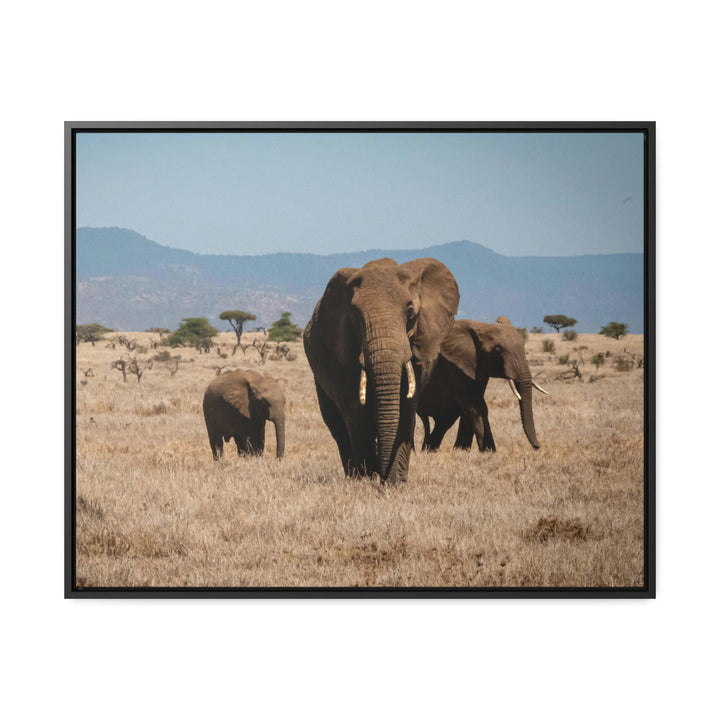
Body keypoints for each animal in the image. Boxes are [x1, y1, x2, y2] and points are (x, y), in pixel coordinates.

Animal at [304, 258, 462, 484]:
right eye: (355, 315)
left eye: (410, 311)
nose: (383, 478)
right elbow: (355, 411)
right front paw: (368, 479)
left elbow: (406, 407)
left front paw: (395, 482)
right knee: (337, 425)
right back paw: (353, 475)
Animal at [416, 318, 544, 452]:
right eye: (497, 350)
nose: (537, 446)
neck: (482, 327)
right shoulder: (456, 367)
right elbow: (476, 406)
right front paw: (489, 452)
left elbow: (472, 407)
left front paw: (462, 451)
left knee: (445, 421)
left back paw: (428, 450)